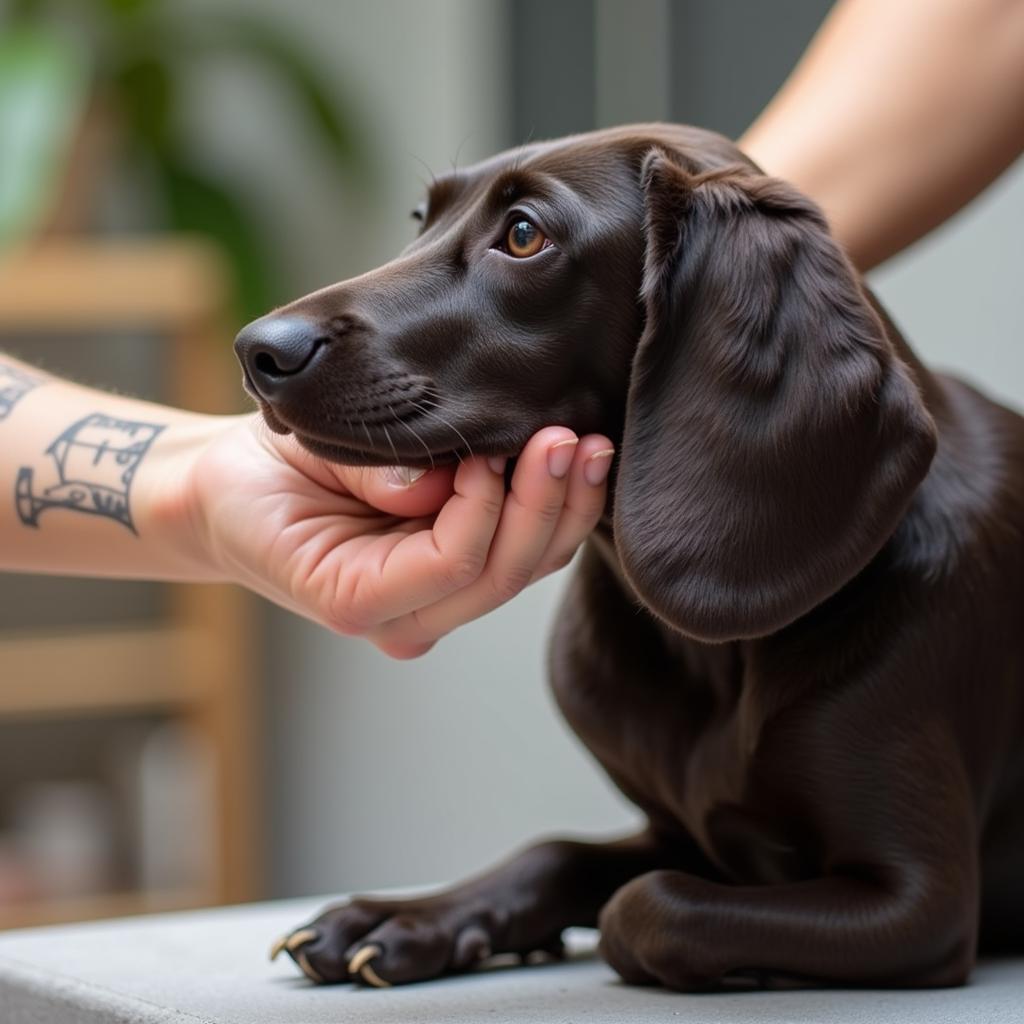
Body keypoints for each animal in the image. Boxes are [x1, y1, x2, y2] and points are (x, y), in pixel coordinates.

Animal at [234, 121, 1024, 991]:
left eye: (523, 235)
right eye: (421, 217)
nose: (256, 350)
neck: (716, 661)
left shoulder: (923, 901)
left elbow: (648, 907)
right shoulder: (675, 832)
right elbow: (554, 855)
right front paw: (408, 919)